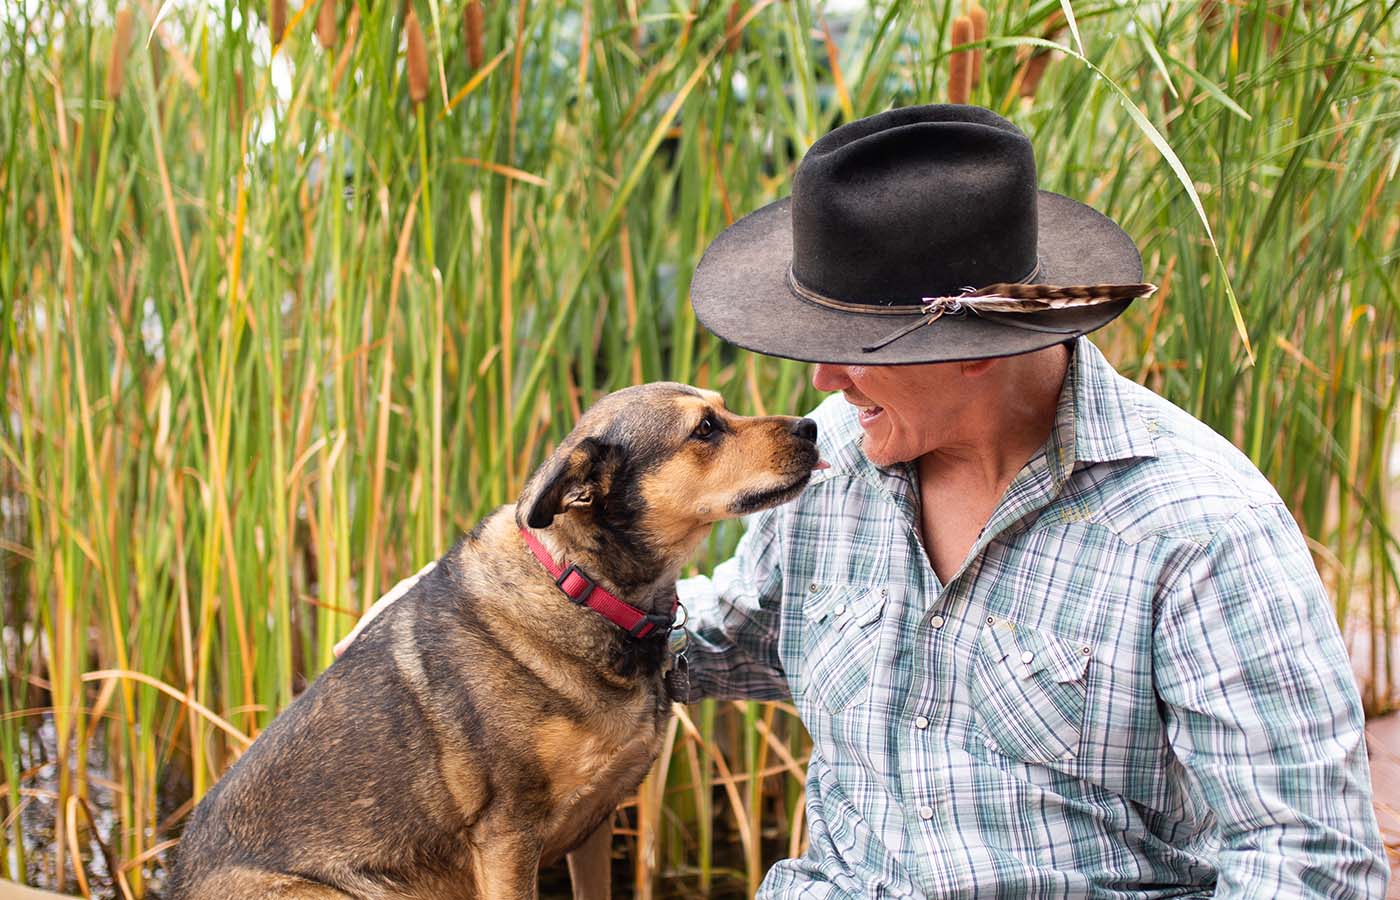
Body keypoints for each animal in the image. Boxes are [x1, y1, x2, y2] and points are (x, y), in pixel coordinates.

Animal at [172, 383, 817, 900]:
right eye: (705, 428)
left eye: (723, 409)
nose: (811, 427)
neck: (585, 589)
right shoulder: (507, 835)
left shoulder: (595, 823)